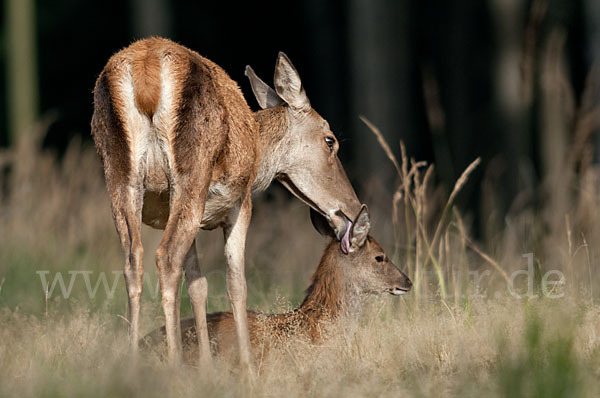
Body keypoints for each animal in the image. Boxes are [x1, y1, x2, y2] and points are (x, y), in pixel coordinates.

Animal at [89, 38, 360, 370]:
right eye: (330, 140)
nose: (353, 210)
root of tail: (146, 73)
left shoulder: (169, 212)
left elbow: (198, 284)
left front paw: (207, 366)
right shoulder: (240, 204)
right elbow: (236, 283)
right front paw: (247, 368)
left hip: (119, 176)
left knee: (134, 259)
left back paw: (132, 362)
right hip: (192, 172)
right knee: (166, 256)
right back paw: (173, 365)